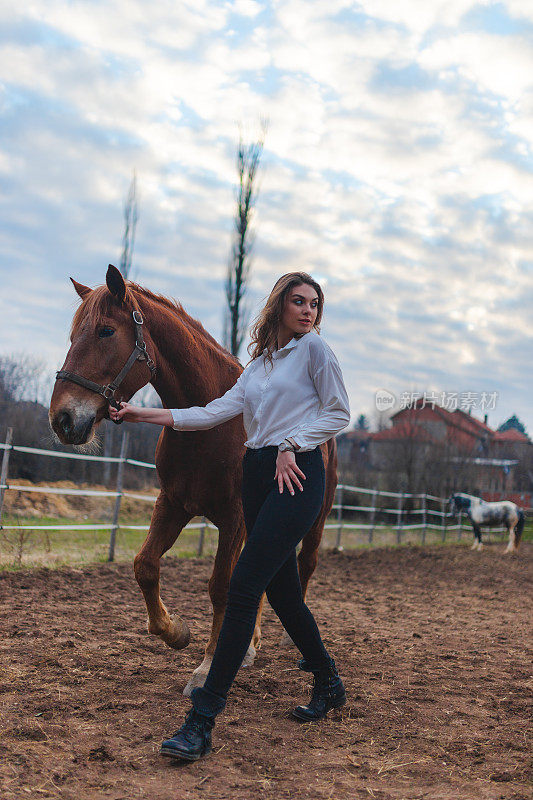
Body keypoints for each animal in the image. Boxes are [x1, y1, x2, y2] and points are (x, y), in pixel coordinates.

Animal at [52, 266, 338, 692]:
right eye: (73, 336)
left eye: (105, 331)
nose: (62, 419)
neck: (210, 429)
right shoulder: (172, 504)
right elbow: (145, 565)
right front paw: (175, 632)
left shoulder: (234, 519)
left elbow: (221, 587)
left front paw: (206, 668)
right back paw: (250, 645)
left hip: (311, 522)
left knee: (305, 563)